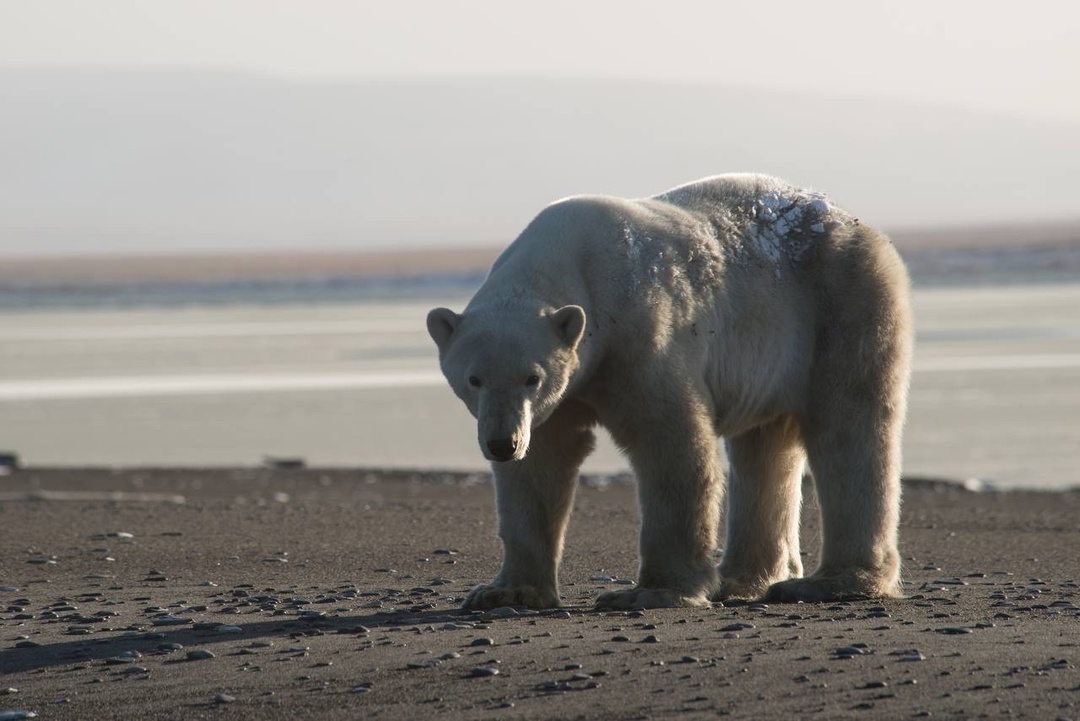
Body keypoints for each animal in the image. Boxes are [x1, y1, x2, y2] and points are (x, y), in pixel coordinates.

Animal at [427, 172, 911, 608]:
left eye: (532, 376)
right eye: (474, 378)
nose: (502, 443)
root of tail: (854, 222)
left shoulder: (639, 335)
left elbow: (672, 446)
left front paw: (651, 591)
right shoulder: (557, 398)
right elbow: (540, 467)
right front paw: (504, 591)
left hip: (841, 301)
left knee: (849, 427)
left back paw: (832, 582)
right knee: (764, 447)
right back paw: (744, 580)